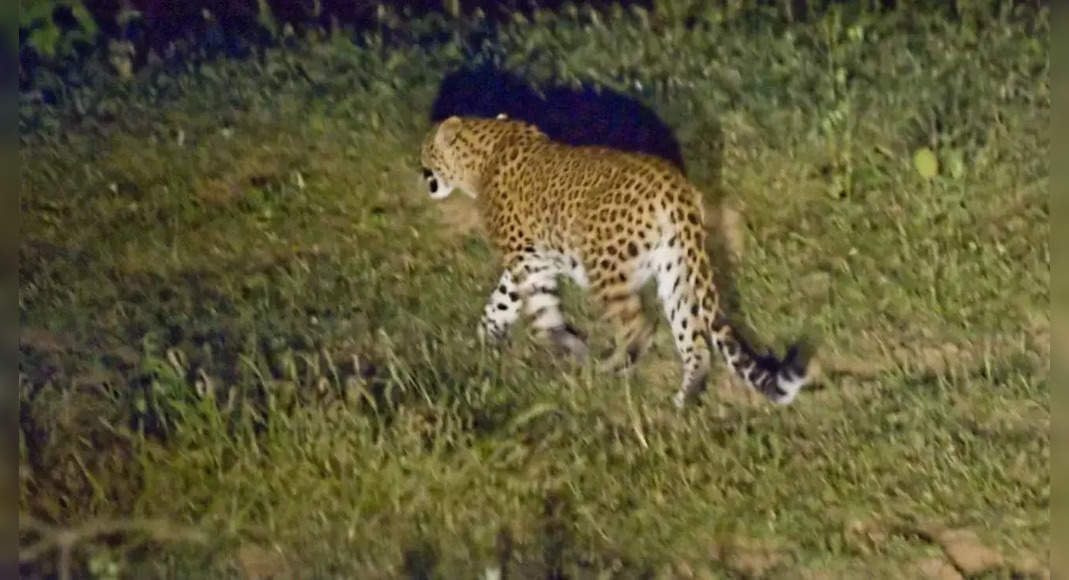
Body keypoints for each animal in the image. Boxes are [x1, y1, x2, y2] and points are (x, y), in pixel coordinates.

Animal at [419, 114, 811, 407]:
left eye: (426, 150)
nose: (420, 169)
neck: (485, 148)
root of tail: (674, 185)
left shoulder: (526, 258)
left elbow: (538, 309)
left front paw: (565, 346)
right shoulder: (535, 258)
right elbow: (502, 301)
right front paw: (485, 341)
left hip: (604, 263)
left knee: (639, 323)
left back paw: (613, 366)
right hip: (677, 269)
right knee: (694, 338)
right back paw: (685, 398)